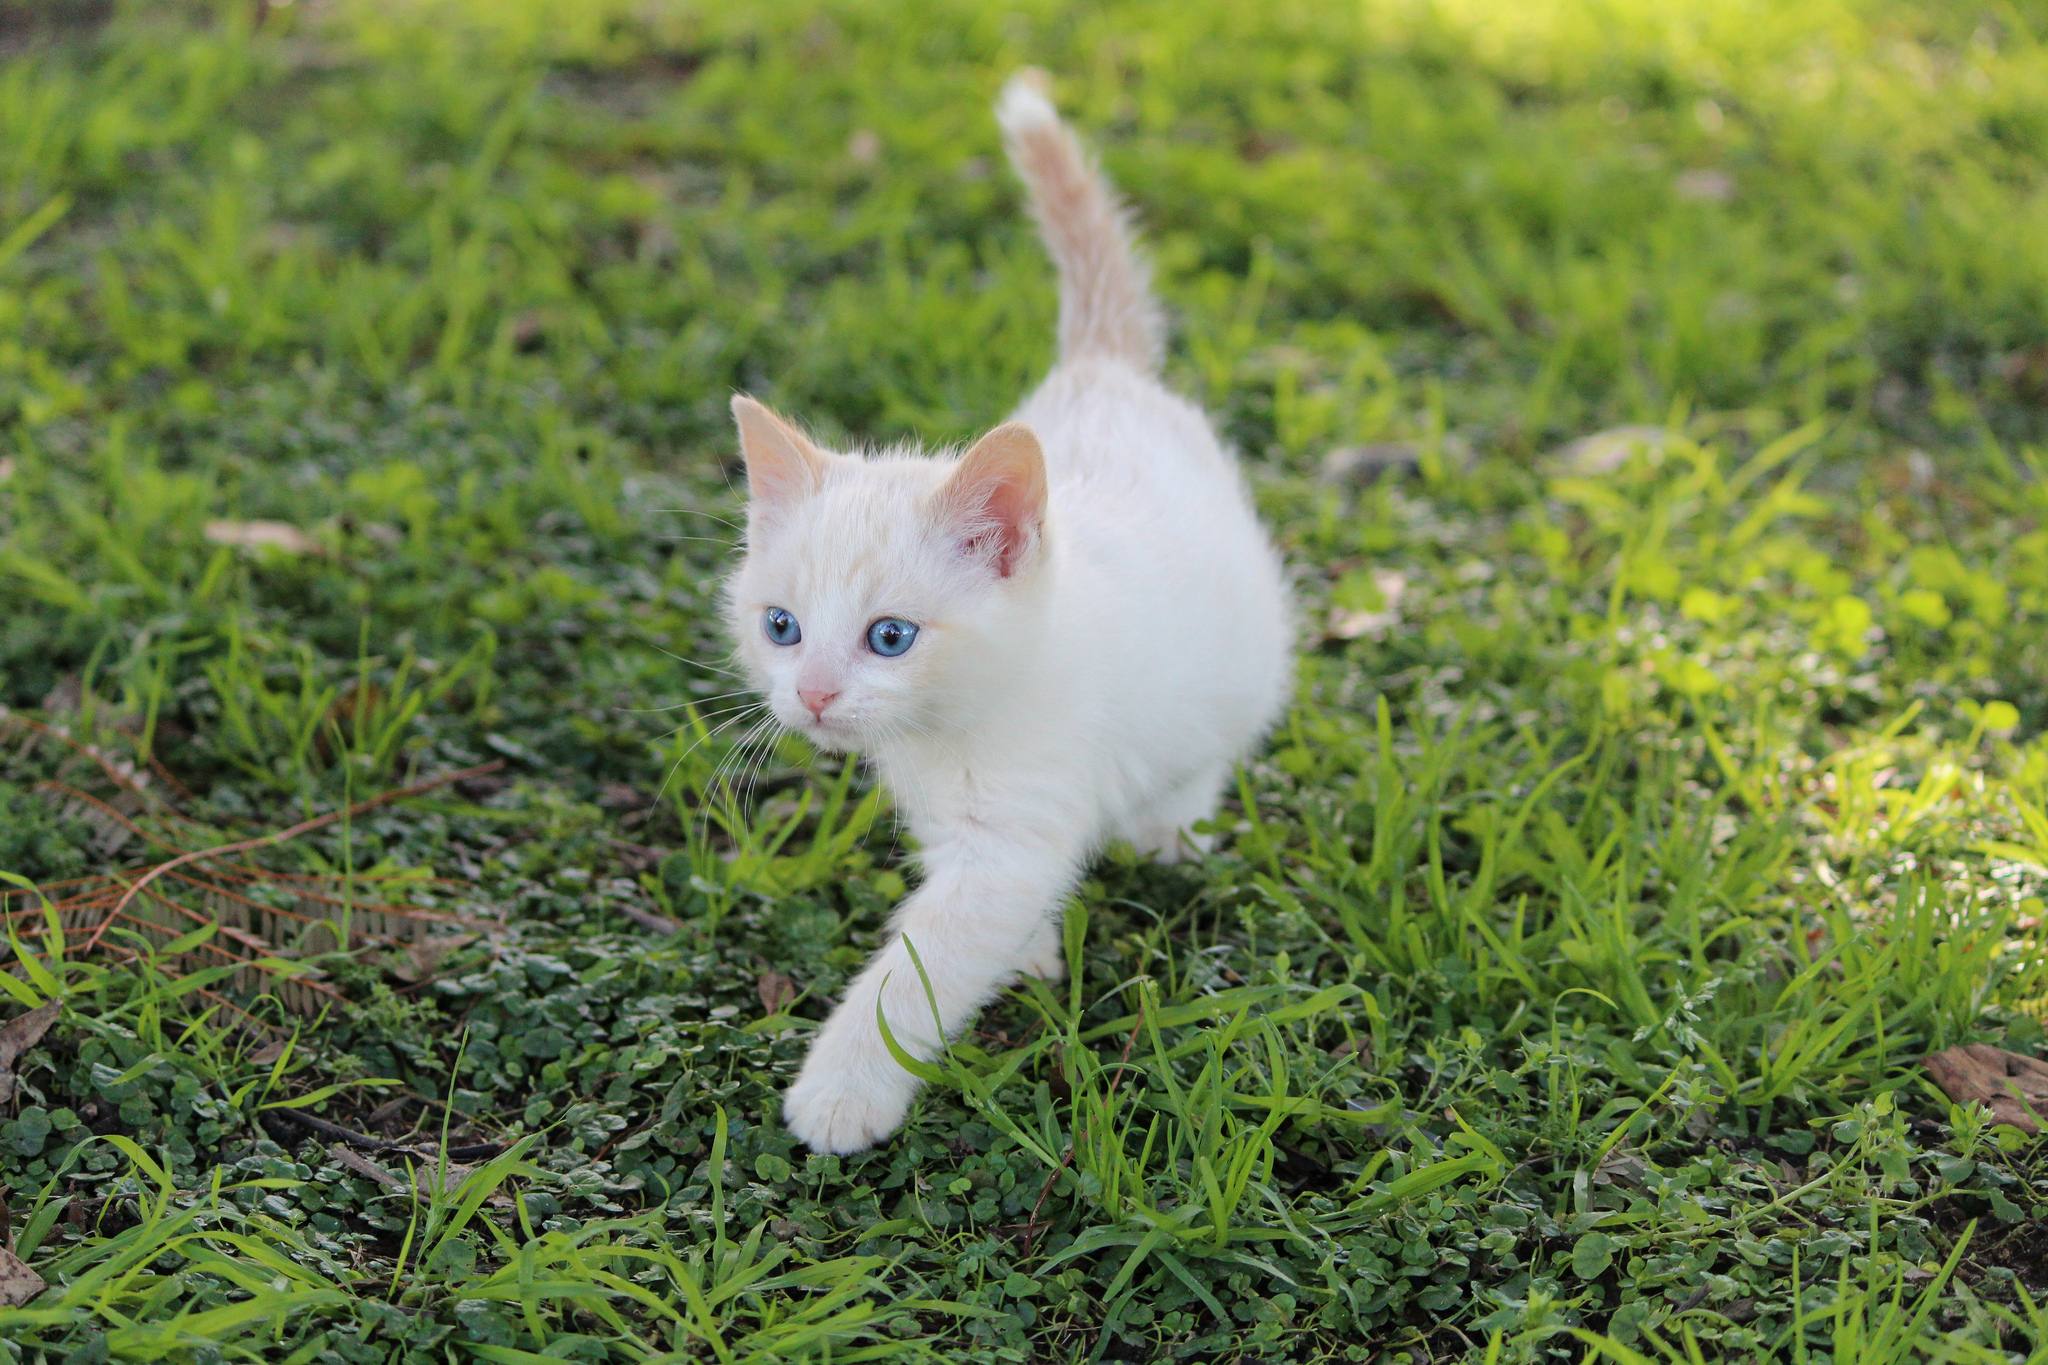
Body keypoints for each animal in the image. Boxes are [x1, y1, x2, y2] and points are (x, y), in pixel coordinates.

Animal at [729, 72, 1286, 1154]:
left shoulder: (1011, 834)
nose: (811, 696)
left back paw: (1169, 828)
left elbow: (920, 965)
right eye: (781, 627)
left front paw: (843, 1090)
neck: (950, 731)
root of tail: (1101, 372)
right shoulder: (958, 827)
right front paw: (1027, 955)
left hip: (1241, 658)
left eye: (890, 637)